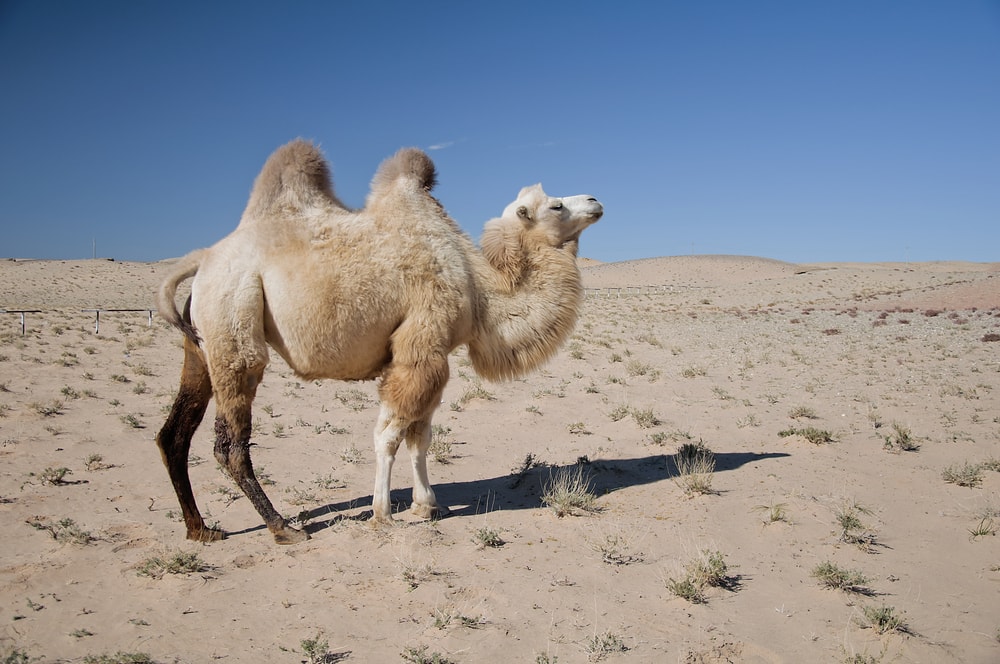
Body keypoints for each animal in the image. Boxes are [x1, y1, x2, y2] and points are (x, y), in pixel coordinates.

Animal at [155, 139, 603, 544]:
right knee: (229, 442)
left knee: (174, 433)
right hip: (235, 322)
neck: (479, 287)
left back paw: (201, 529)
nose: (596, 200)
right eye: (556, 206)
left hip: (202, 343)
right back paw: (283, 527)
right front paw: (382, 513)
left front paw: (427, 505)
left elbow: (420, 437)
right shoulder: (421, 347)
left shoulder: (431, 356)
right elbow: (388, 435)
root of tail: (203, 259)